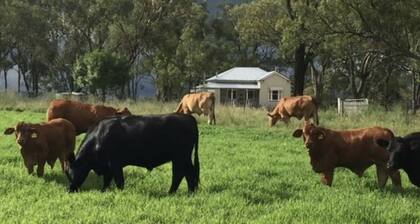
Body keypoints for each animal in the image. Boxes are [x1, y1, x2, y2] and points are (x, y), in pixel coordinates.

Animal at [67, 113, 200, 193]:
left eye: (72, 172)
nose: (71, 189)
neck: (98, 138)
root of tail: (187, 117)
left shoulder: (115, 164)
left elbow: (119, 181)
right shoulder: (108, 167)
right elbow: (107, 181)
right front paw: (103, 191)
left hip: (180, 157)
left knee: (179, 174)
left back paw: (172, 192)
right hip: (183, 158)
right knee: (189, 173)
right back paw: (190, 192)